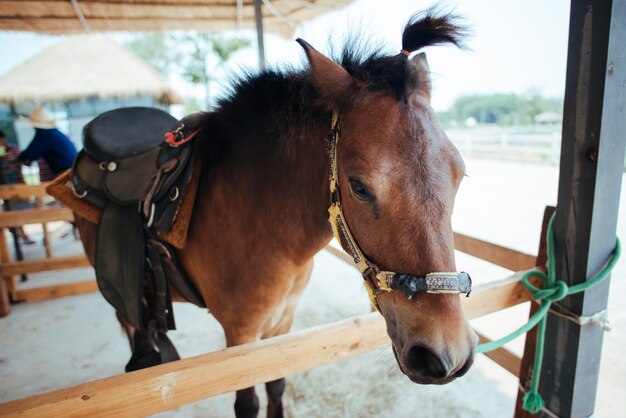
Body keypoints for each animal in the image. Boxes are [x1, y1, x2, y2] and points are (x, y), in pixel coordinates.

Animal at [75, 9, 476, 418]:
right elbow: (248, 402)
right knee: (125, 315)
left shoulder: (281, 324)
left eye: (460, 175)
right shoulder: (240, 336)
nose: (443, 353)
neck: (266, 230)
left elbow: (277, 385)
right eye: (360, 187)